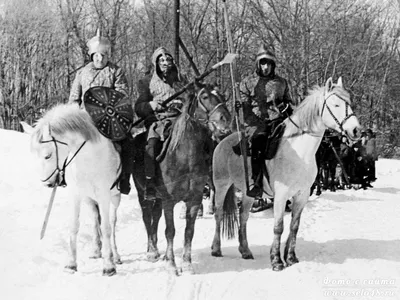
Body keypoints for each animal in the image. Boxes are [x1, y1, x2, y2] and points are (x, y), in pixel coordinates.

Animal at [26, 103, 122, 276]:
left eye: (48, 155)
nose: (48, 183)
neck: (89, 157)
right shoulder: (76, 195)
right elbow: (74, 226)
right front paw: (71, 264)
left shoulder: (104, 195)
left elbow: (106, 228)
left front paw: (108, 266)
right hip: (89, 198)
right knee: (95, 219)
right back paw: (96, 250)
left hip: (115, 198)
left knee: (111, 222)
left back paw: (115, 255)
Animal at [132, 82, 231, 274]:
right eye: (204, 96)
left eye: (222, 95)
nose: (226, 118)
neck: (184, 157)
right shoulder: (169, 201)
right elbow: (170, 231)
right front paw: (171, 265)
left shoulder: (194, 199)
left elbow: (189, 231)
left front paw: (186, 263)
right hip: (143, 193)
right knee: (147, 218)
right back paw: (152, 251)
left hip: (158, 198)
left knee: (155, 218)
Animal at [212, 78, 362, 272]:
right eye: (336, 104)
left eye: (349, 103)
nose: (356, 131)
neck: (299, 151)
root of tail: (222, 141)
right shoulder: (281, 195)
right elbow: (279, 227)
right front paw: (276, 260)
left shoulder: (302, 195)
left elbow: (294, 226)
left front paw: (290, 257)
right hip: (221, 185)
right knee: (218, 214)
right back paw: (216, 249)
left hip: (248, 193)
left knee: (243, 216)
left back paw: (245, 251)